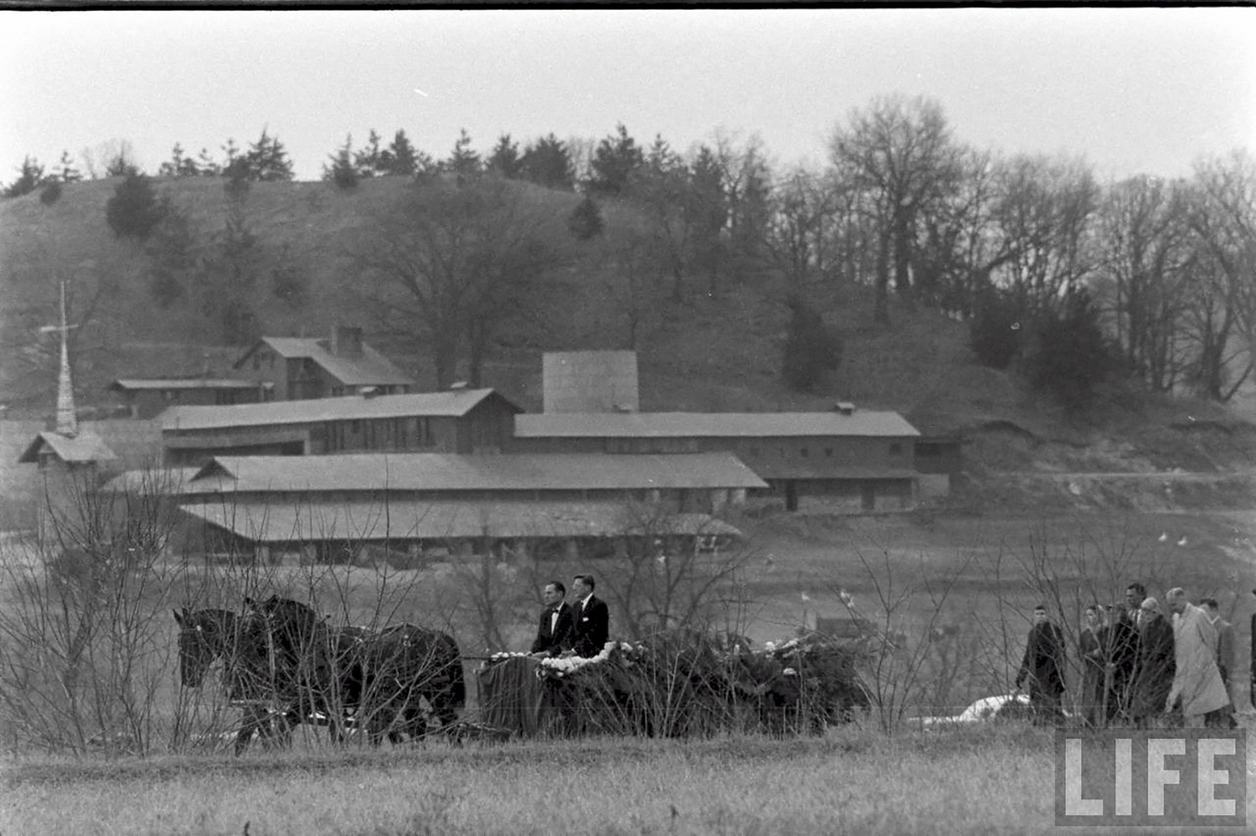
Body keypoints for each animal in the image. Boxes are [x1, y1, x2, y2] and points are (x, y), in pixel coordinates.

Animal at [172, 605, 301, 753]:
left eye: (196, 642)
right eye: (179, 642)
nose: (188, 679)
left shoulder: (255, 702)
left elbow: (244, 738)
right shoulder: (257, 704)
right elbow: (264, 737)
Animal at [244, 592, 467, 743]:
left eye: (266, 618)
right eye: (251, 615)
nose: (248, 637)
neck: (316, 644)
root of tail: (435, 635)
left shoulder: (316, 699)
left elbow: (291, 726)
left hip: (434, 693)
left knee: (444, 725)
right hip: (411, 696)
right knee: (421, 727)